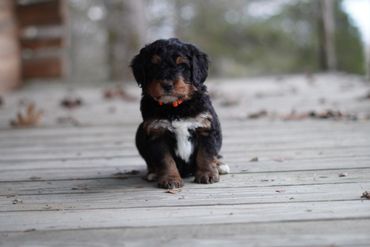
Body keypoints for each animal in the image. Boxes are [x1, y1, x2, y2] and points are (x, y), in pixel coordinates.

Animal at [129, 38, 228, 189]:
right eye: (154, 66)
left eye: (182, 65)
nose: (167, 84)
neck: (175, 107)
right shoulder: (157, 132)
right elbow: (165, 160)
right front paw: (170, 179)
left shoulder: (206, 126)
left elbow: (206, 154)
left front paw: (207, 174)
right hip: (140, 132)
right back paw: (153, 173)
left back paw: (220, 165)